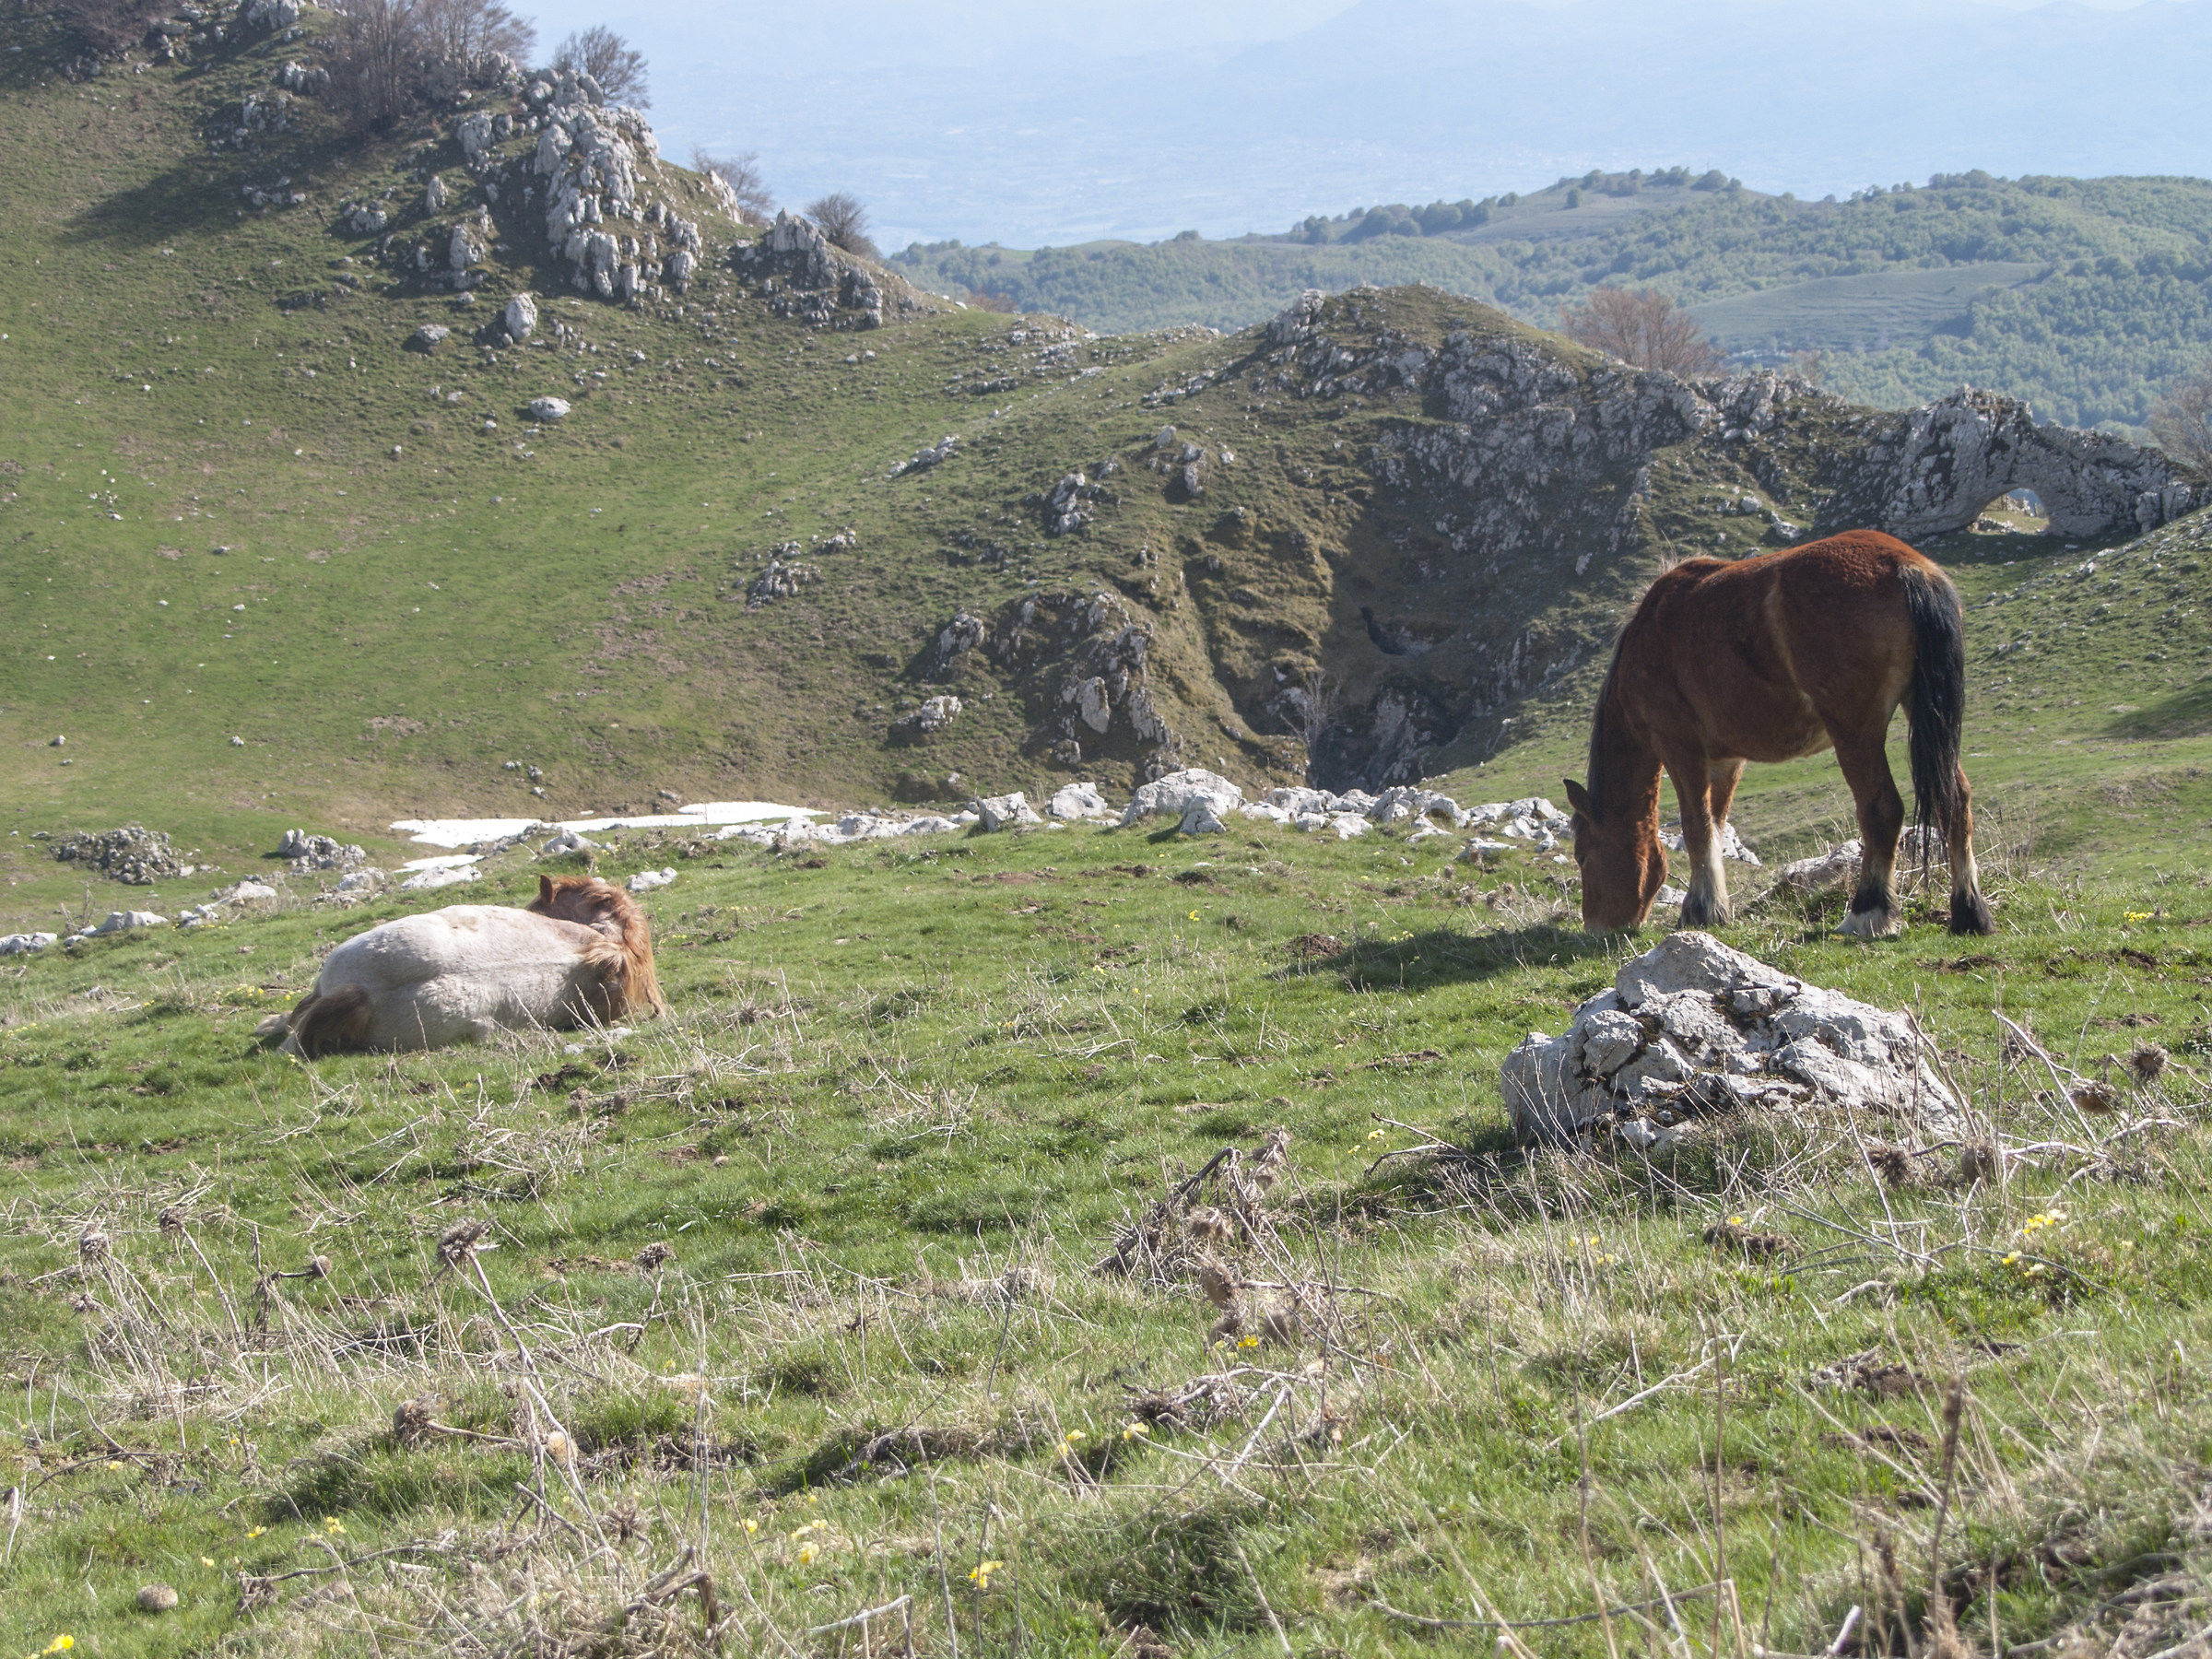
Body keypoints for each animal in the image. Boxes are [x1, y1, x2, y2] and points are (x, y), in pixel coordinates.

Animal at [1563, 529, 1995, 939]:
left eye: (1582, 854)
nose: (1596, 927)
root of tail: (1907, 567)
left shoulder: (1679, 747)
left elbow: (1696, 825)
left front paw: (1703, 910)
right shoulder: (1726, 760)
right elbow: (1715, 825)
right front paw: (1711, 906)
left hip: (1855, 731)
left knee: (1881, 808)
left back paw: (1867, 913)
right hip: (1921, 711)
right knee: (1955, 799)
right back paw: (1969, 912)